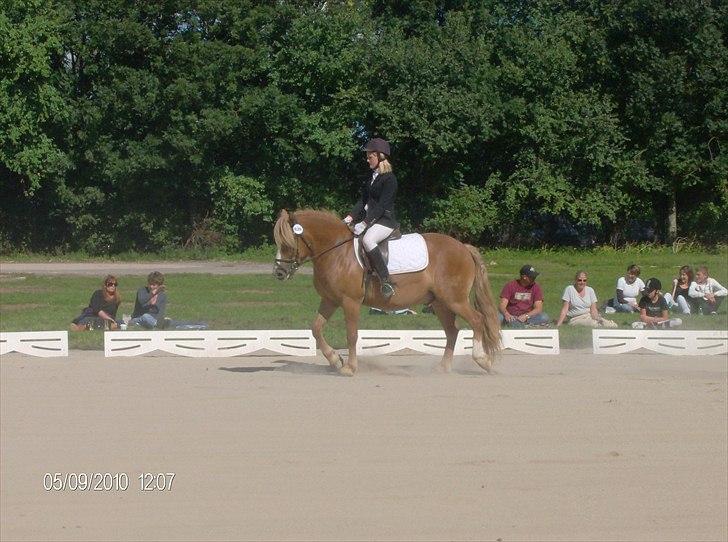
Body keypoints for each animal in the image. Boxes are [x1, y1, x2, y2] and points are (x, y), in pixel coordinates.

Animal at [272, 209, 500, 378]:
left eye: (288, 242)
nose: (279, 272)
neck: (336, 251)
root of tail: (463, 247)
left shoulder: (350, 302)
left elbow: (351, 335)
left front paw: (349, 368)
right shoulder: (330, 300)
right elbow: (316, 329)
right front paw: (335, 360)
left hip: (455, 300)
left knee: (477, 321)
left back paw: (483, 360)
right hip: (440, 303)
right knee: (452, 331)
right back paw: (443, 368)